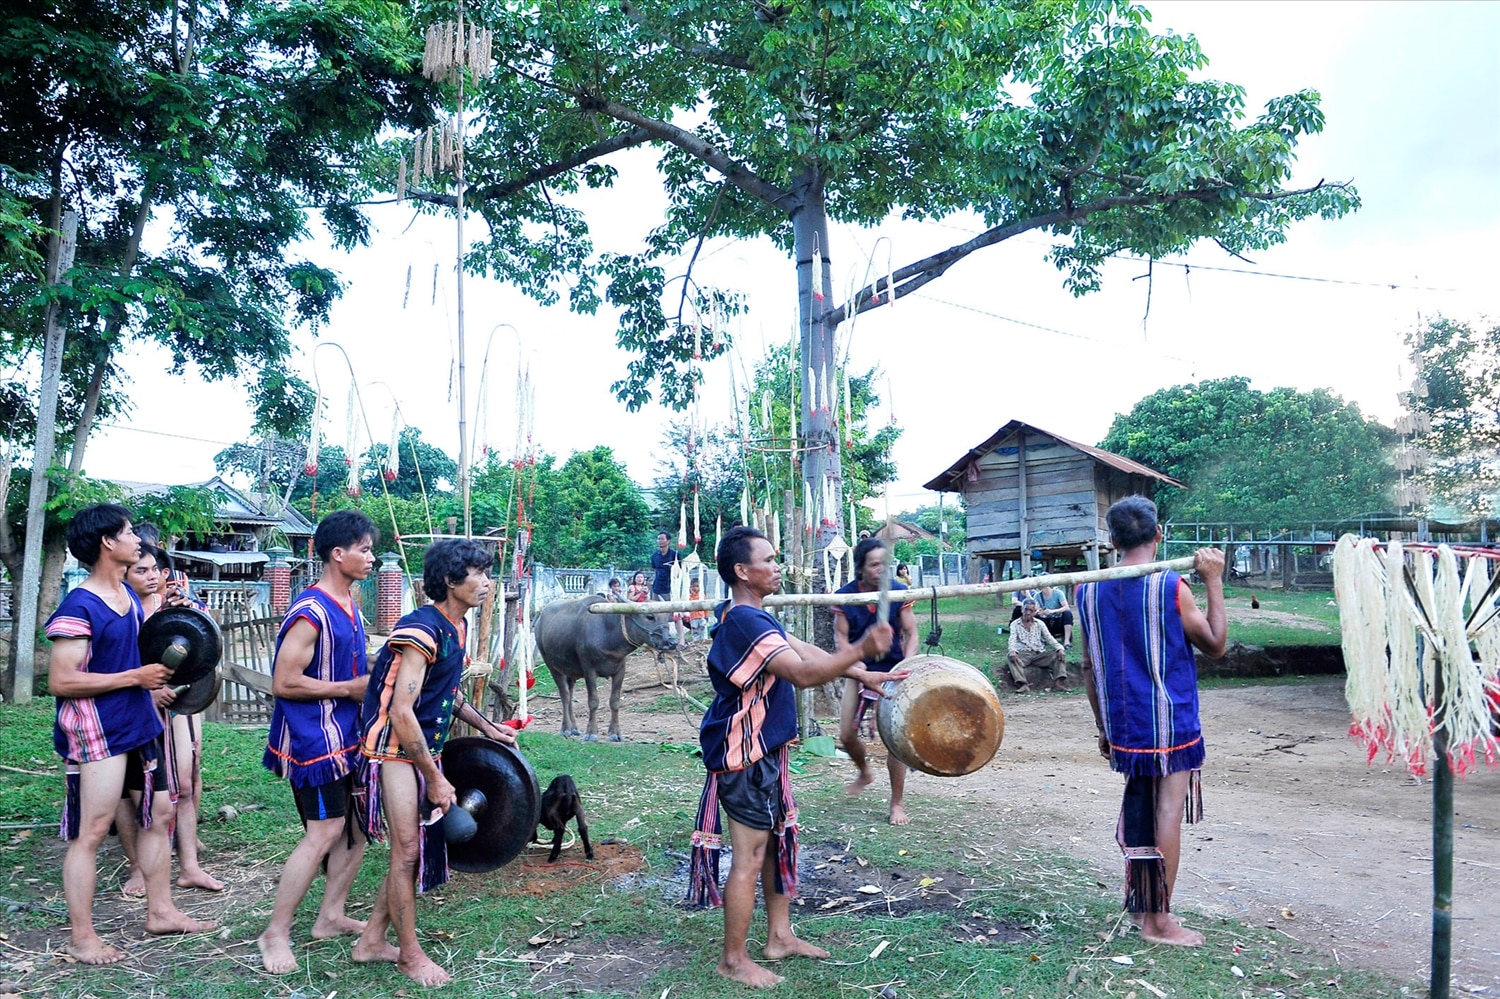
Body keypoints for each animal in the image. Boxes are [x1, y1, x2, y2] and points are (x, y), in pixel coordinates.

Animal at [537, 591, 678, 738]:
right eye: (650, 616)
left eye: (666, 617)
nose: (672, 642)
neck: (608, 633)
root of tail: (539, 620)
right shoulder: (589, 670)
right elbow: (593, 701)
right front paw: (591, 733)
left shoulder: (620, 671)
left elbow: (615, 701)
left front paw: (616, 733)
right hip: (552, 666)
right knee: (564, 695)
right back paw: (566, 728)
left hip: (570, 671)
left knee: (570, 695)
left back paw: (574, 728)